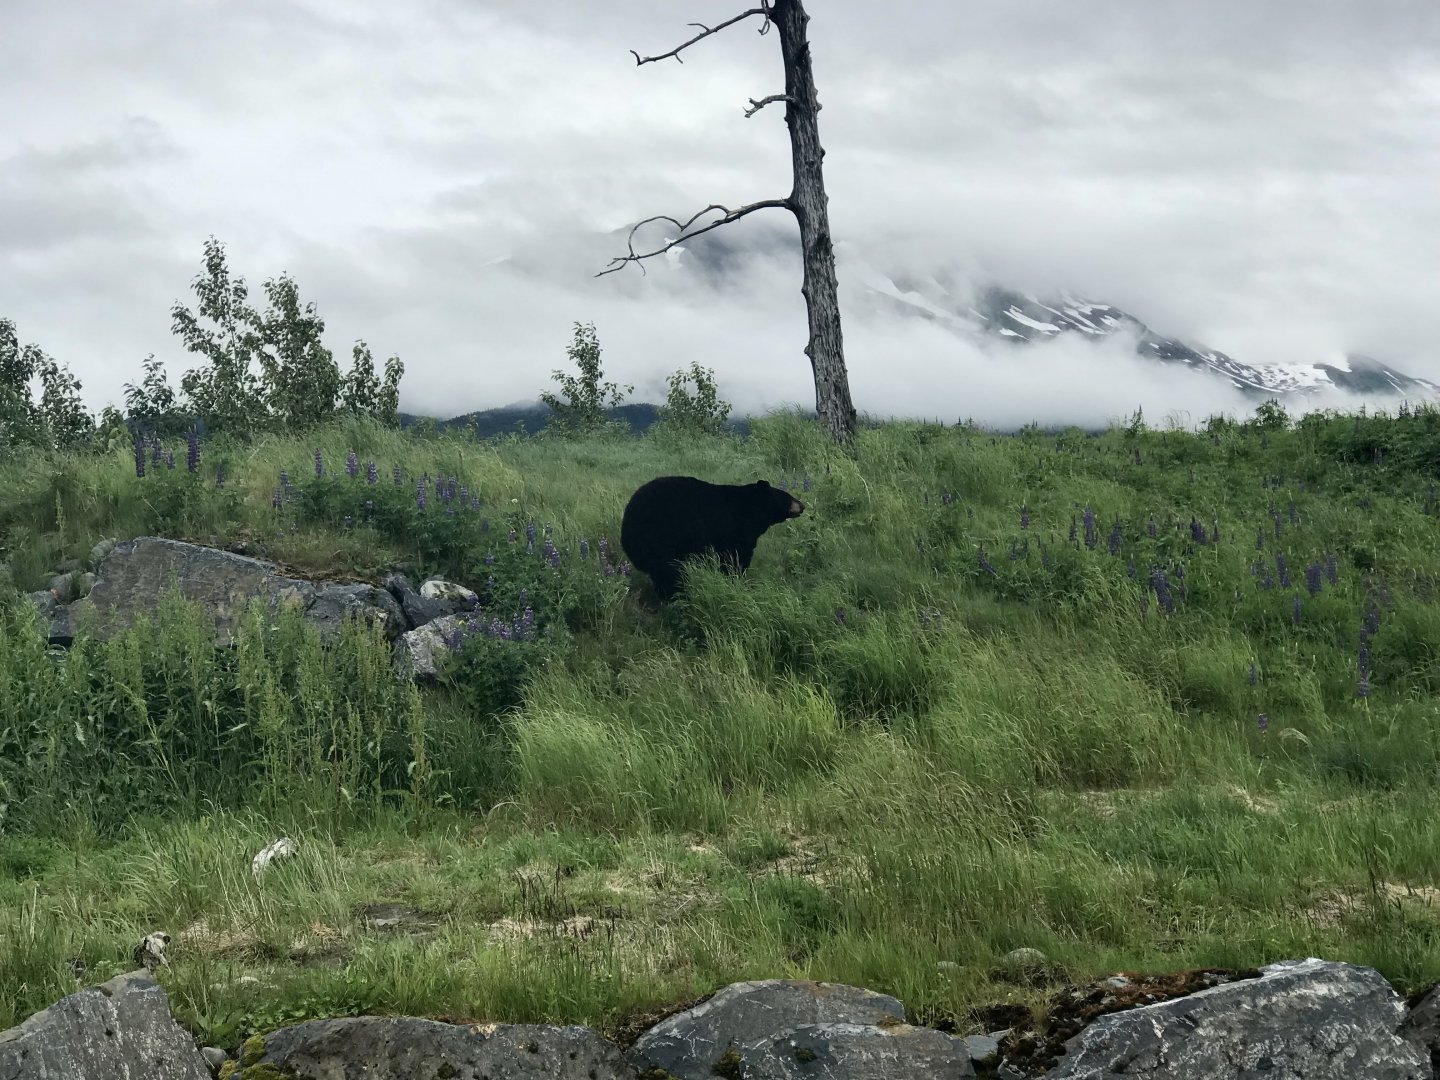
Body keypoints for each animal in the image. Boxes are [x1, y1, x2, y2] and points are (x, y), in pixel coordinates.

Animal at [620, 475, 805, 602]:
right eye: (787, 496)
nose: (802, 505)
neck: (749, 510)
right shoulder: (733, 529)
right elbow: (736, 557)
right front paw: (736, 580)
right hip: (661, 538)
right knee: (671, 572)